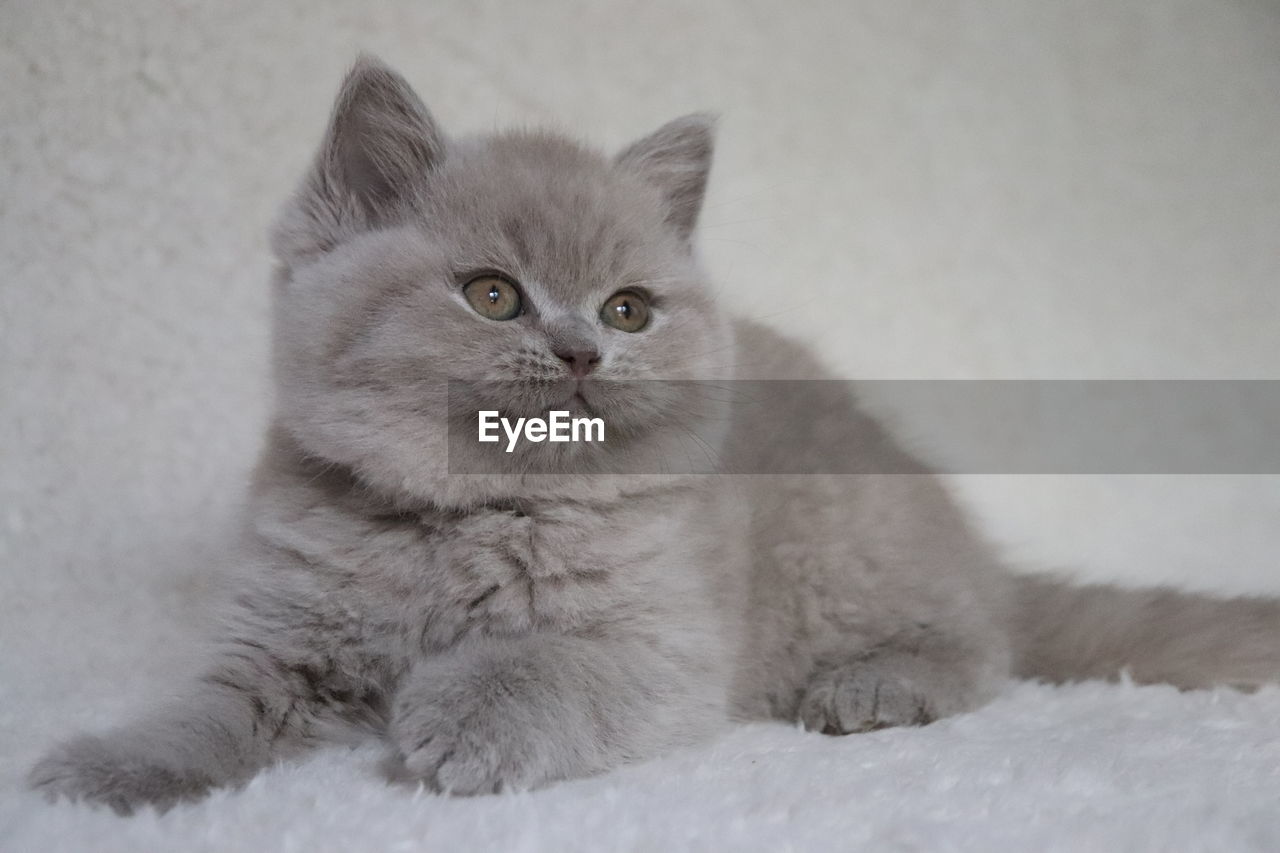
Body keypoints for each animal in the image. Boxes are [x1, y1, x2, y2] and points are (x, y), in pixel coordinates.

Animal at [27, 56, 1280, 814]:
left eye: (628, 309)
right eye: (492, 295)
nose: (583, 351)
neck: (462, 521)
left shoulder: (670, 643)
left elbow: (548, 659)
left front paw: (456, 711)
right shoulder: (279, 630)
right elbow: (211, 704)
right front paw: (111, 768)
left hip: (839, 549)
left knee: (984, 646)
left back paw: (877, 686)